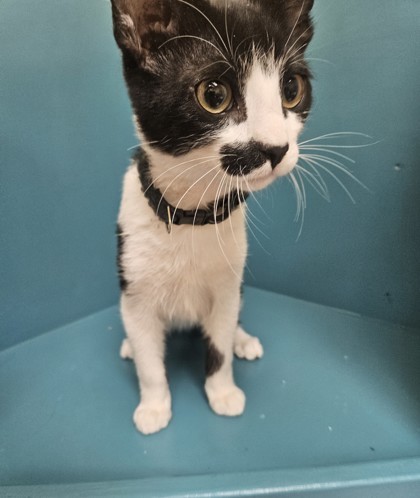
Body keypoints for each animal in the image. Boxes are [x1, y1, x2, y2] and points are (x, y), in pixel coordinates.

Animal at [110, 0, 314, 434]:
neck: (191, 214)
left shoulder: (226, 285)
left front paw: (222, 391)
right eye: (214, 94)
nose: (277, 148)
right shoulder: (135, 287)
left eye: (292, 89)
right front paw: (154, 406)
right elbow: (149, 361)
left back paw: (242, 339)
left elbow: (218, 339)